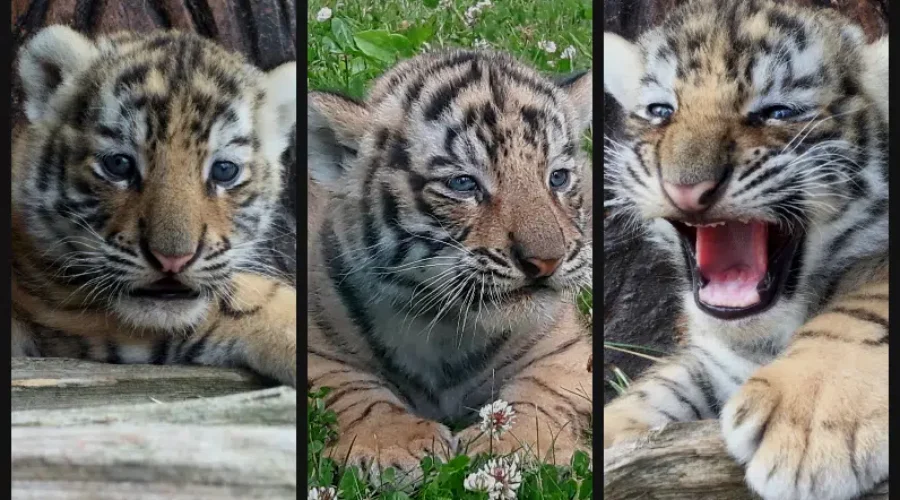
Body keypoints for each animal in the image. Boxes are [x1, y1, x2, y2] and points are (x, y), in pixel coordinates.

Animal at [307, 49, 594, 474]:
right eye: (463, 184)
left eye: (557, 178)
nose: (547, 262)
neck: (446, 326)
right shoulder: (314, 345)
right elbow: (351, 389)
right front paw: (391, 446)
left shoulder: (564, 348)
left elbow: (540, 391)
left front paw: (518, 446)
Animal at [602, 1, 887, 499]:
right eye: (660, 110)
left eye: (777, 111)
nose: (685, 187)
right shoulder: (713, 355)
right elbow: (661, 383)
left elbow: (866, 307)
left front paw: (810, 417)